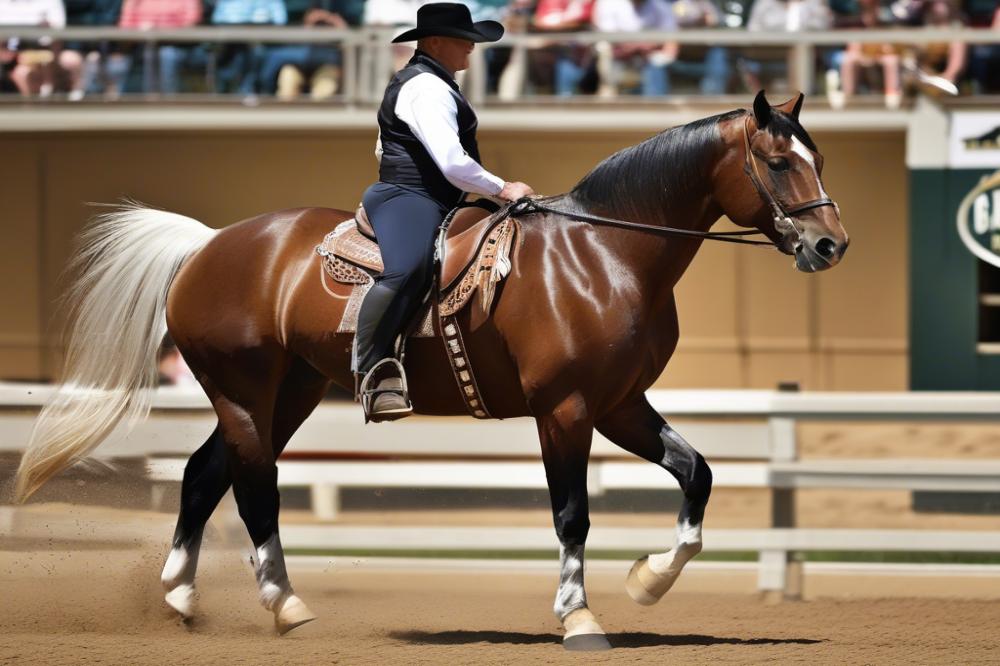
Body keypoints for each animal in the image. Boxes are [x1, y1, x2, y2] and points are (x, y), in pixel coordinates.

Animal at [15, 92, 844, 648]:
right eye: (777, 162)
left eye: (819, 157)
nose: (830, 245)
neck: (602, 255)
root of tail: (207, 245)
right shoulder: (567, 410)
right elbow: (572, 515)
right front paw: (579, 616)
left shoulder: (620, 404)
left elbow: (697, 475)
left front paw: (648, 580)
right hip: (245, 394)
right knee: (253, 490)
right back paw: (284, 604)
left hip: (288, 394)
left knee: (201, 473)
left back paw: (183, 599)